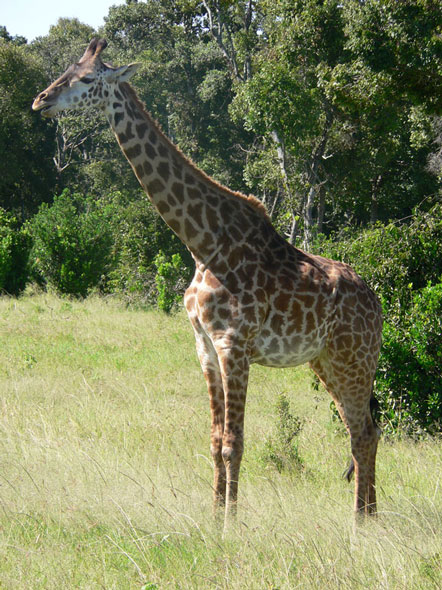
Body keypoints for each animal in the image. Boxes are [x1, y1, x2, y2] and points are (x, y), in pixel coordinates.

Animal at [32, 37, 384, 528]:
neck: (203, 243)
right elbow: (216, 440)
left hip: (354, 360)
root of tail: (380, 307)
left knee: (362, 432)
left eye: (85, 78)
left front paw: (232, 524)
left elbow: (235, 442)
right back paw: (369, 518)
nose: (40, 100)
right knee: (365, 429)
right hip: (327, 360)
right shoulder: (203, 345)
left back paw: (360, 523)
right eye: (65, 70)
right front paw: (215, 517)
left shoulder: (233, 344)